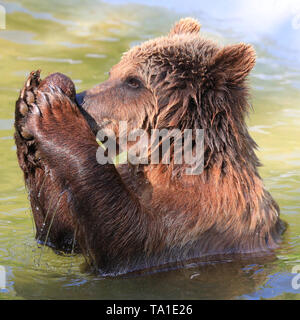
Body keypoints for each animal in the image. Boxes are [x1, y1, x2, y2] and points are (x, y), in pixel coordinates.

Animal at [14, 17, 286, 276]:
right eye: (113, 72)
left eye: (133, 81)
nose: (80, 98)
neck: (167, 156)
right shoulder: (134, 178)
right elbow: (63, 233)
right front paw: (27, 103)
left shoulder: (203, 213)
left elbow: (127, 238)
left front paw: (56, 114)